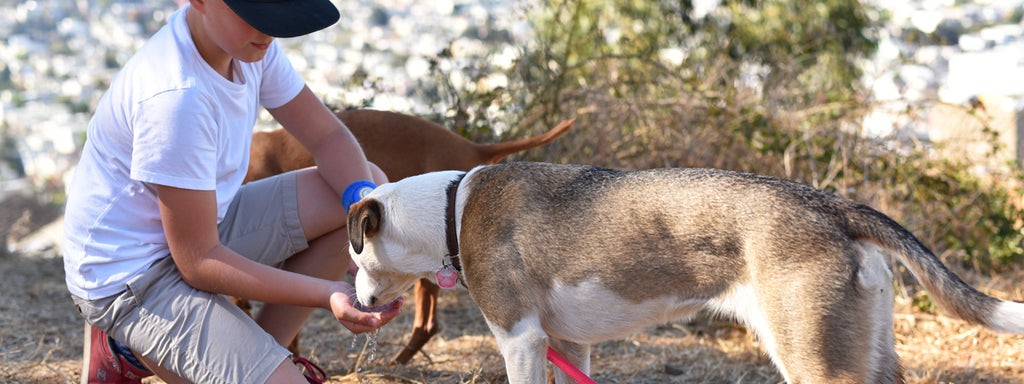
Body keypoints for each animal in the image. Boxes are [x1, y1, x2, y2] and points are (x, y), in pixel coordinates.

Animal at [346, 162, 1024, 384]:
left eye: (353, 254)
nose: (356, 297)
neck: (450, 210)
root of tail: (833, 206)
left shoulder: (520, 340)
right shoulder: (566, 344)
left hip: (817, 361)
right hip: (870, 353)